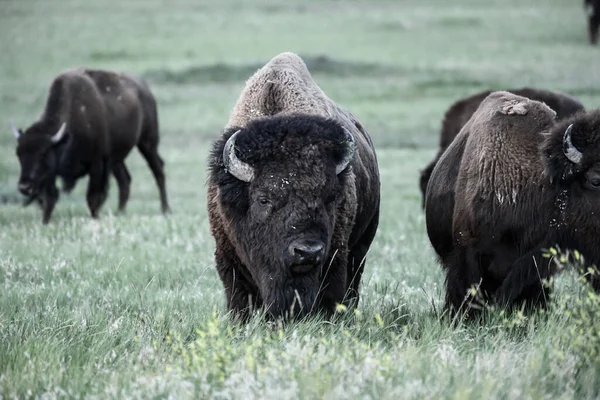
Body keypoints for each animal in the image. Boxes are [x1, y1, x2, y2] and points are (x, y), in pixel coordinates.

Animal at [12, 69, 171, 225]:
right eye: (18, 154)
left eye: (43, 153)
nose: (24, 187)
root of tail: (145, 90)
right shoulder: (49, 174)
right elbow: (49, 199)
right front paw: (45, 222)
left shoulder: (96, 164)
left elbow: (92, 198)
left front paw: (95, 219)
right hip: (116, 159)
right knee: (125, 180)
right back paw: (119, 212)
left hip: (147, 142)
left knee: (158, 170)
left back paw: (165, 210)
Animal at [206, 53, 380, 322]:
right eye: (263, 199)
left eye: (330, 198)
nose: (307, 252)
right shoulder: (227, 257)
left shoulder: (336, 257)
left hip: (362, 245)